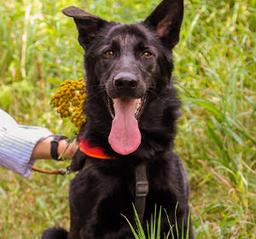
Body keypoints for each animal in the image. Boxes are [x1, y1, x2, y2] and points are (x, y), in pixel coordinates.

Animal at [42, 0, 194, 238]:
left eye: (147, 53)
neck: (136, 157)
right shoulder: (89, 224)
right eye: (109, 52)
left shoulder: (178, 219)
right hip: (52, 231)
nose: (125, 82)